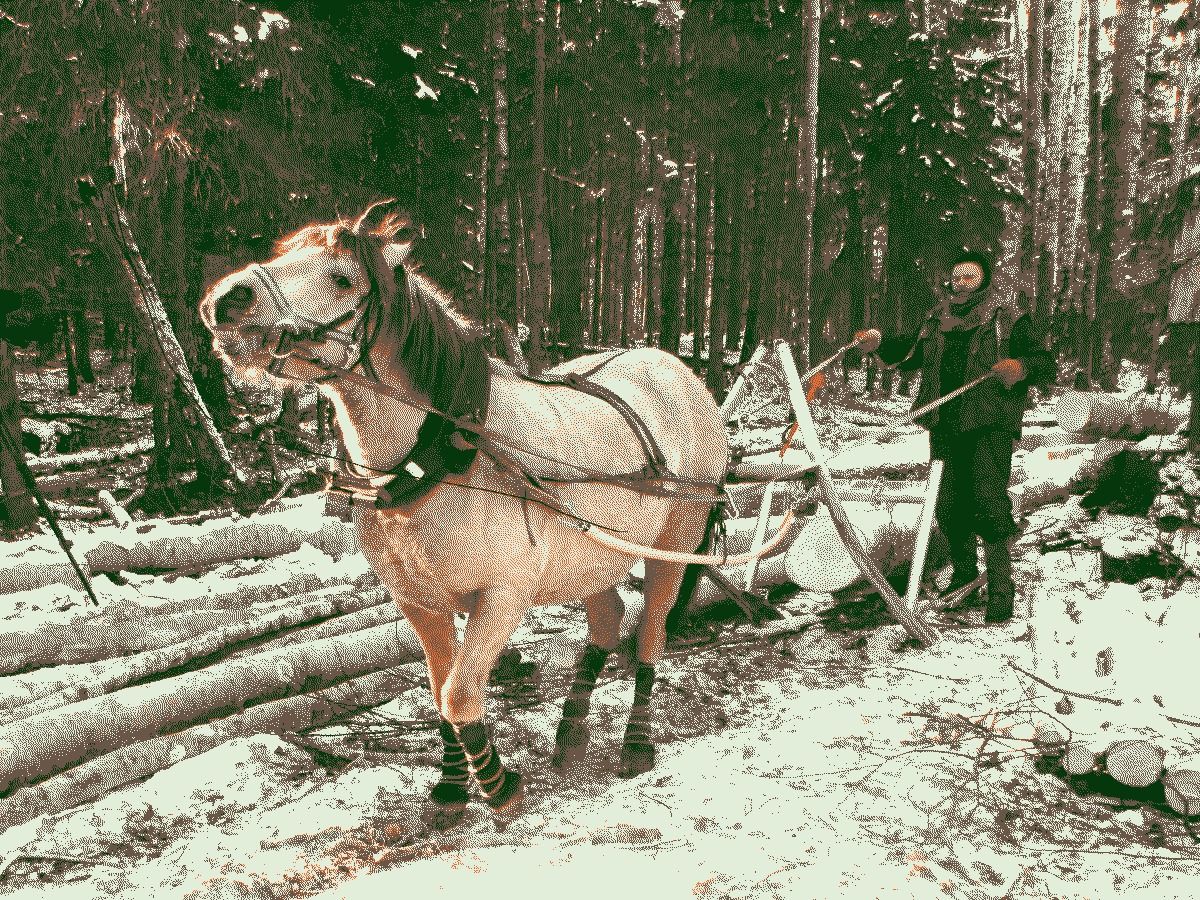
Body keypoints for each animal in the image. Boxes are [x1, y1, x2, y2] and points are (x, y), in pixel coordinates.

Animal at [201, 204, 787, 825]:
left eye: (341, 278)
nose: (227, 301)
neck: (440, 461)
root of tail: (677, 369)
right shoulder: (420, 602)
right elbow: (440, 692)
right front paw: (453, 784)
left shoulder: (503, 598)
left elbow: (460, 693)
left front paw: (499, 783)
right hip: (591, 558)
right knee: (607, 620)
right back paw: (571, 728)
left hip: (671, 548)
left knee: (650, 634)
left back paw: (636, 740)